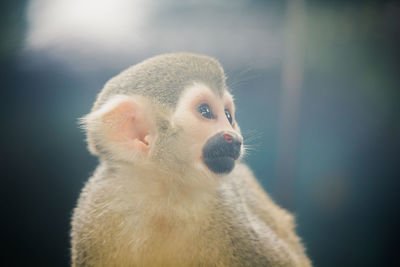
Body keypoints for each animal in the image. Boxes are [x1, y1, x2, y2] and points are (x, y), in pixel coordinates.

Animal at [70, 53, 310, 266]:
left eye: (228, 116)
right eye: (205, 111)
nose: (235, 139)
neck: (166, 197)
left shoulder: (232, 215)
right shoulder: (94, 213)